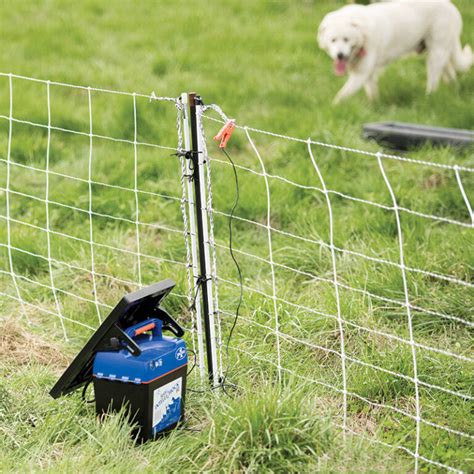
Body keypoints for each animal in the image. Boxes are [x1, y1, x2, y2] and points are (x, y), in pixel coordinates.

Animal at [318, 0, 470, 103]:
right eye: (333, 40)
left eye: (346, 39)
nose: (340, 55)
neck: (362, 31)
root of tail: (451, 6)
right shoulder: (366, 73)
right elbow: (371, 91)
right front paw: (375, 106)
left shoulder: (361, 73)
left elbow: (341, 95)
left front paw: (333, 107)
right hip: (437, 51)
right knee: (449, 71)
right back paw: (453, 90)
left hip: (436, 54)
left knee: (434, 80)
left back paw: (429, 97)